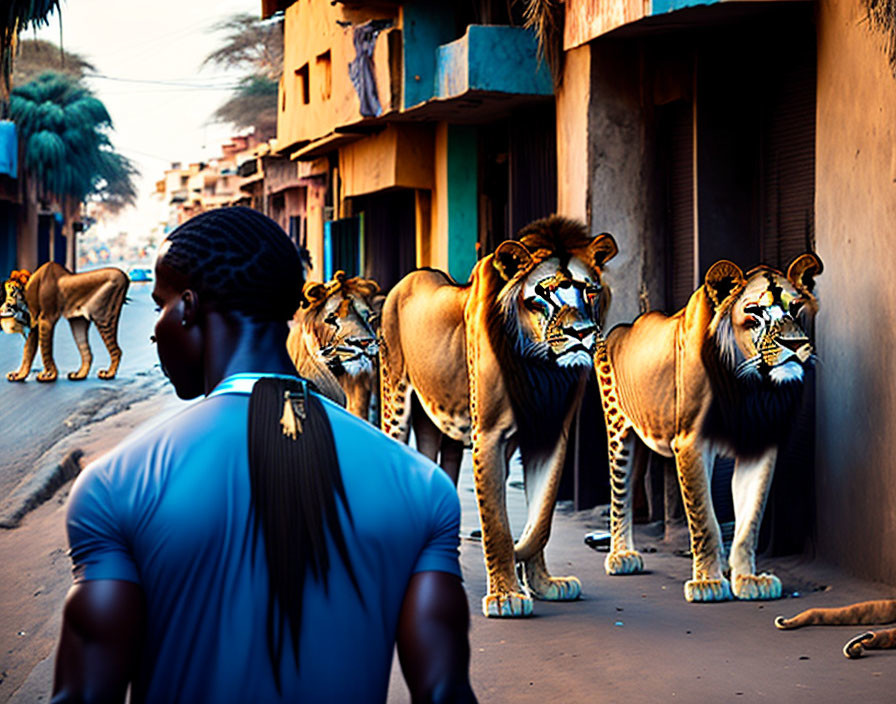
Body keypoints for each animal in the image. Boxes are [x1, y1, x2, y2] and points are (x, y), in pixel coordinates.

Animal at [378, 214, 616, 616]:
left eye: (590, 291)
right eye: (544, 294)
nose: (581, 333)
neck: (543, 369)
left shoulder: (550, 435)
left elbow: (542, 518)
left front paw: (542, 583)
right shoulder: (488, 436)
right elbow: (497, 524)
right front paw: (506, 596)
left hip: (443, 428)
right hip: (396, 401)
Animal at [592, 256, 824, 604]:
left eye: (795, 307)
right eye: (754, 311)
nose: (795, 344)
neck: (750, 388)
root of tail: (619, 329)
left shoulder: (760, 445)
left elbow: (749, 521)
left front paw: (748, 579)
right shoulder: (691, 444)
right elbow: (705, 519)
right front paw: (709, 583)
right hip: (619, 428)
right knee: (620, 492)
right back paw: (621, 557)